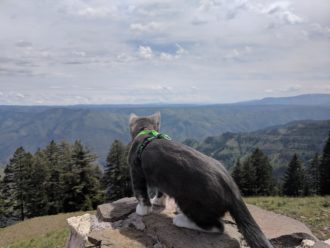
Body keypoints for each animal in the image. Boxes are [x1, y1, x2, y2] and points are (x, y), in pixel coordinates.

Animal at [127, 113, 272, 248]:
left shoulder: (136, 170)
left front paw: (143, 209)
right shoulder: (160, 175)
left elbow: (140, 191)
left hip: (190, 201)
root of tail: (233, 190)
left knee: (217, 226)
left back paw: (181, 219)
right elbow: (161, 190)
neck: (146, 131)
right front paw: (157, 202)